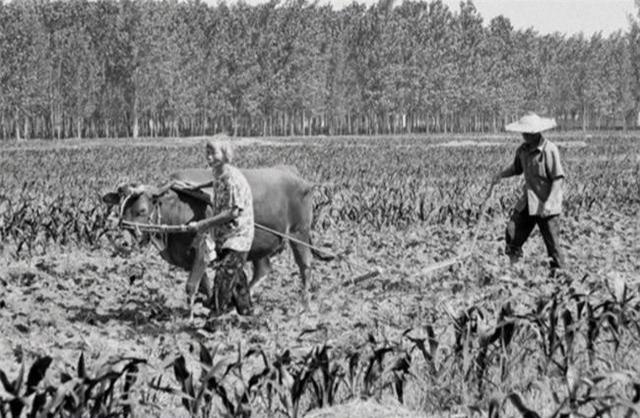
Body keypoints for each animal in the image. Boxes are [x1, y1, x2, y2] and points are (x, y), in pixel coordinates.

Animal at [102, 165, 332, 318]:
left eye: (141, 210)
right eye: (120, 209)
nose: (123, 243)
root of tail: (300, 179)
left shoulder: (202, 249)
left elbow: (191, 286)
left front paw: (190, 316)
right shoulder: (191, 257)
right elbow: (203, 284)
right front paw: (210, 302)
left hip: (299, 234)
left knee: (305, 267)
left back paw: (304, 306)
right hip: (259, 244)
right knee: (263, 270)